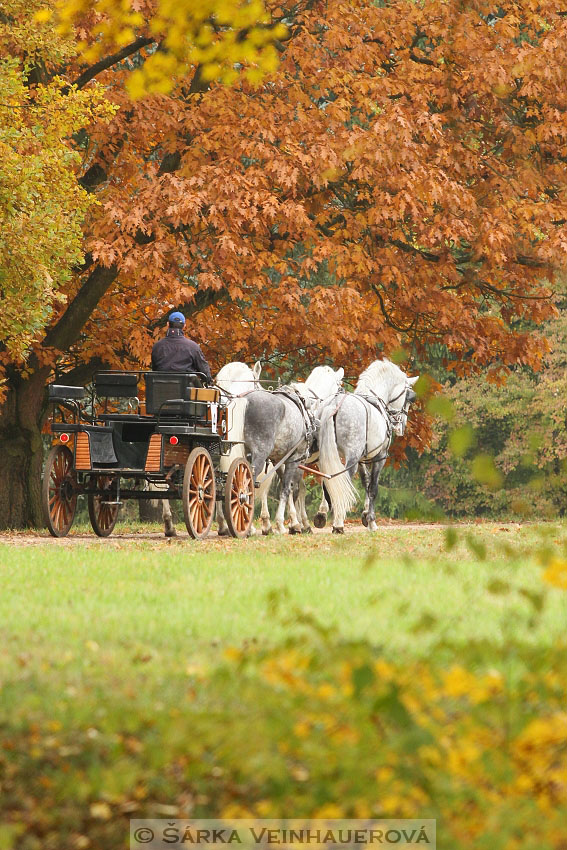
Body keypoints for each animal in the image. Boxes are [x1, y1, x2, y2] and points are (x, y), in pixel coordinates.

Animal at [318, 362, 420, 532]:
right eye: (409, 398)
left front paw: (365, 514)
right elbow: (373, 488)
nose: (402, 425)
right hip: (351, 457)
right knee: (343, 479)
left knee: (327, 477)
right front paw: (371, 520)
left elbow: (365, 482)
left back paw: (323, 514)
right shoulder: (379, 457)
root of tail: (333, 404)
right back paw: (338, 522)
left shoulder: (362, 459)